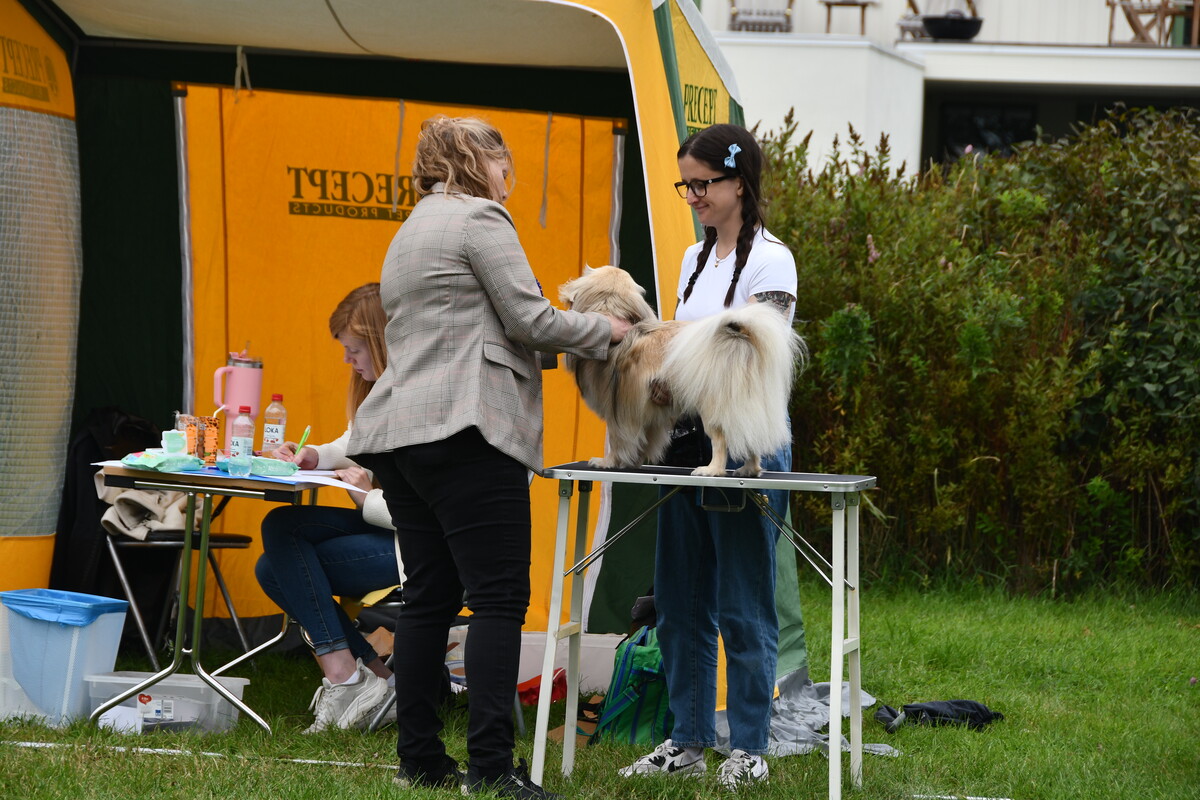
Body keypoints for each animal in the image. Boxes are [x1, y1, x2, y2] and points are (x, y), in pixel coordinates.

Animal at [558, 265, 806, 477]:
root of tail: (738, 338)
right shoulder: (648, 413)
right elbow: (644, 440)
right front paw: (633, 462)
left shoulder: (619, 409)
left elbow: (619, 440)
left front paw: (608, 462)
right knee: (749, 437)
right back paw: (748, 470)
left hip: (713, 408)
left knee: (721, 439)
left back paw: (711, 470)